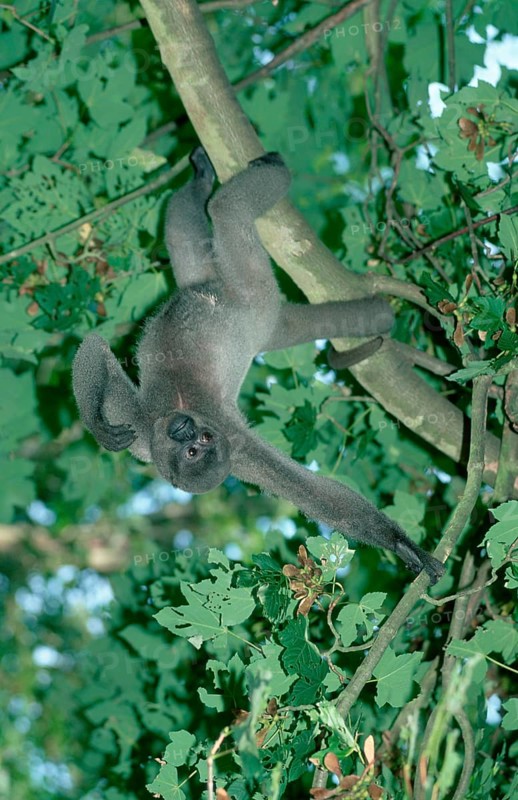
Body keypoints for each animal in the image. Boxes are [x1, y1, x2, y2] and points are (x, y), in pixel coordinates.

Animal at [72, 148, 445, 584]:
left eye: (204, 442)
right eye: (192, 452)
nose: (186, 432)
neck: (174, 411)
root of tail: (267, 329)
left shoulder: (234, 445)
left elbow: (317, 495)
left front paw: (403, 545)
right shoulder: (141, 435)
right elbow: (94, 347)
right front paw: (98, 427)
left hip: (252, 293)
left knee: (225, 210)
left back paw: (260, 170)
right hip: (231, 289)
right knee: (191, 235)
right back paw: (200, 182)